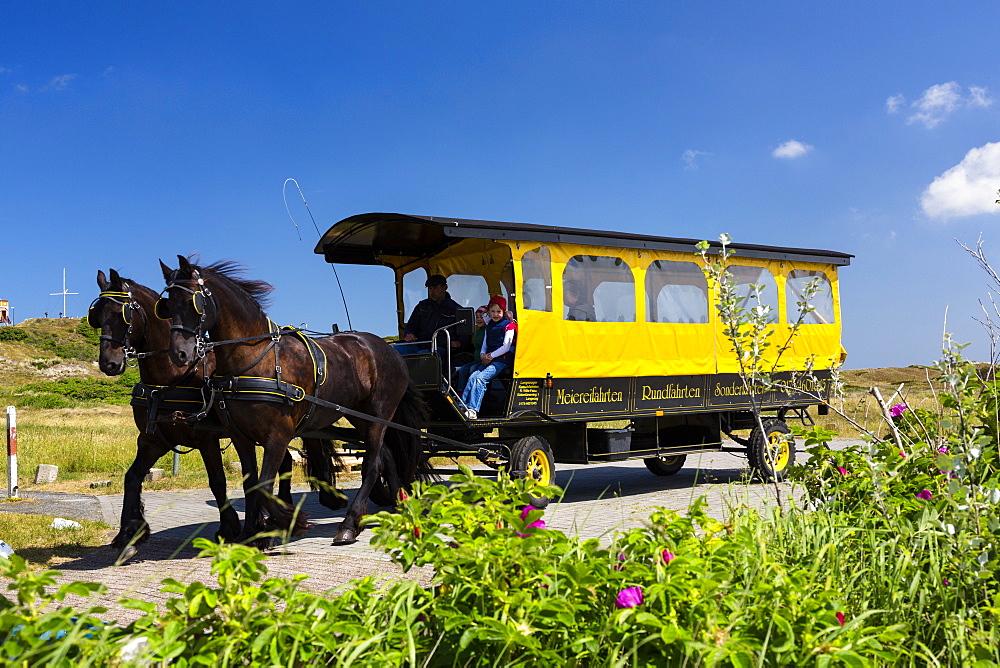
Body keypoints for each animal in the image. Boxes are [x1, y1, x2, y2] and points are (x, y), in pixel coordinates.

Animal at [158, 256, 428, 544]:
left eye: (193, 302)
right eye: (167, 305)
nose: (179, 354)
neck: (257, 360)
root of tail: (390, 349)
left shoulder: (278, 435)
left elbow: (265, 484)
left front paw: (288, 523)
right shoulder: (240, 437)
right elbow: (251, 483)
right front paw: (251, 533)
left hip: (379, 414)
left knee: (373, 464)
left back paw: (350, 523)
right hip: (359, 415)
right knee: (386, 455)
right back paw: (398, 507)